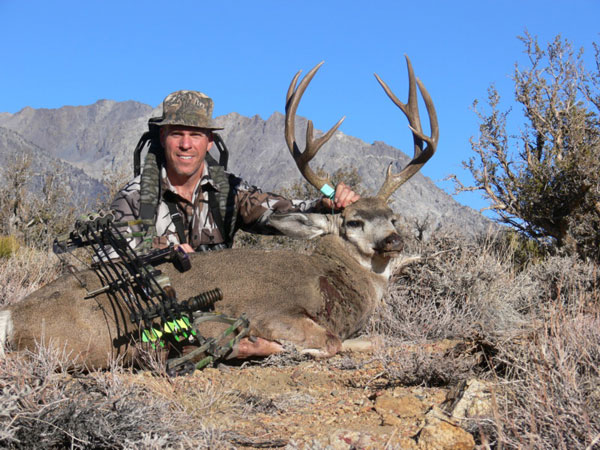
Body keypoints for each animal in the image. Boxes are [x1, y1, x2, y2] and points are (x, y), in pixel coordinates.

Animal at [1, 57, 440, 370]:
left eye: (394, 216)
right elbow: (332, 342)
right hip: (90, 343)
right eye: (353, 222)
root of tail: (12, 316)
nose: (393, 240)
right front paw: (291, 349)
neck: (333, 278)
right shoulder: (274, 311)